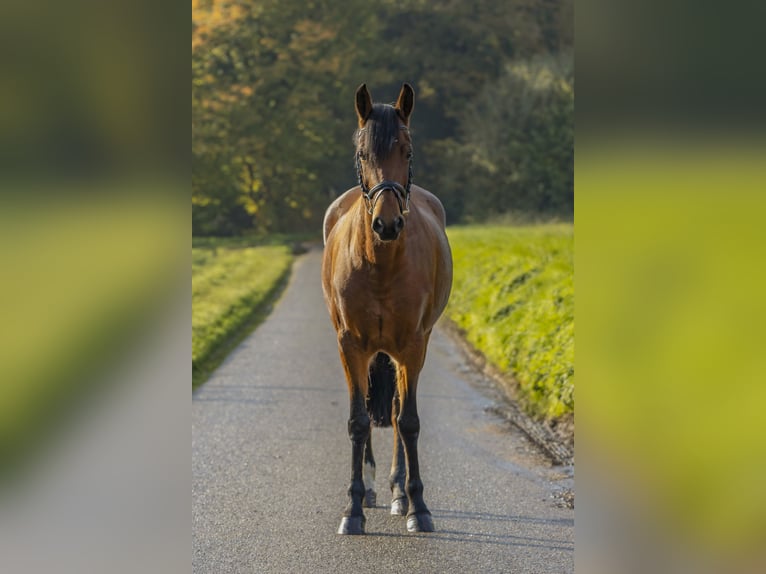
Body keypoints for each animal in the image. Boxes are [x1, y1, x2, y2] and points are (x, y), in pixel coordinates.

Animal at [320, 84, 452, 536]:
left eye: (407, 152)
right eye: (363, 154)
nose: (387, 224)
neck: (379, 263)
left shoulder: (412, 346)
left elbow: (406, 420)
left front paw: (418, 506)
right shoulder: (350, 346)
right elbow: (358, 421)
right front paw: (352, 508)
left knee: (395, 411)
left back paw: (397, 491)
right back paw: (375, 487)